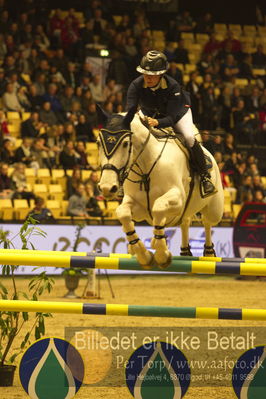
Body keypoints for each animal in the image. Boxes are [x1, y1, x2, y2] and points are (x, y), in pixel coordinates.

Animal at [96, 106, 223, 268]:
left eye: (125, 144)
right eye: (98, 143)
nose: (107, 187)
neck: (146, 166)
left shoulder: (178, 199)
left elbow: (158, 207)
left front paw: (161, 253)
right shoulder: (138, 207)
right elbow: (123, 214)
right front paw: (143, 254)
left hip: (214, 210)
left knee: (207, 223)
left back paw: (208, 253)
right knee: (185, 222)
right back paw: (185, 251)